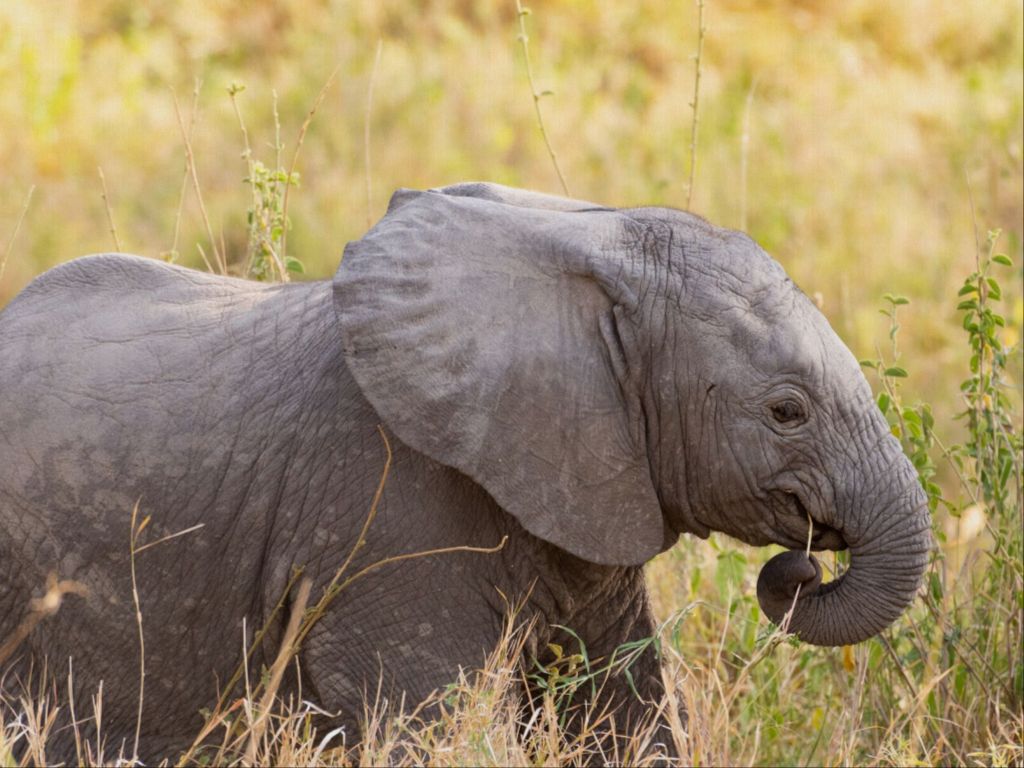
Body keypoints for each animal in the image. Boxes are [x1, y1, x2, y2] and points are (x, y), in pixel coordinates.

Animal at [0, 182, 929, 765]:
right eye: (786, 411)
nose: (798, 565)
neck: (589, 253)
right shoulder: (384, 509)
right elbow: (426, 721)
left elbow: (620, 718)